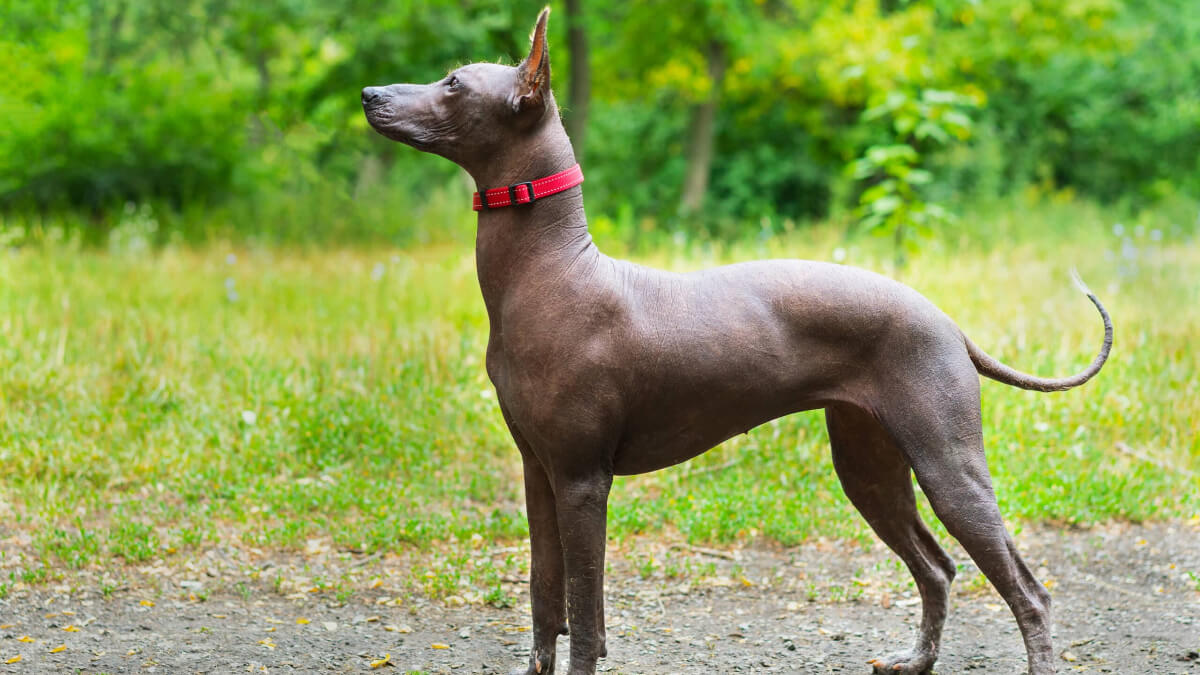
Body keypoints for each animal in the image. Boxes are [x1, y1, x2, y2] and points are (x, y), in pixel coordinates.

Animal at [360, 7, 1108, 667]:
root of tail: (946, 320)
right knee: (938, 567)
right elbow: (547, 603)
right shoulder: (537, 475)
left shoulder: (581, 482)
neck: (554, 271)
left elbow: (584, 619)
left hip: (949, 466)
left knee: (1028, 591)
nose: (369, 93)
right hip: (868, 468)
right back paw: (915, 661)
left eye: (454, 83)